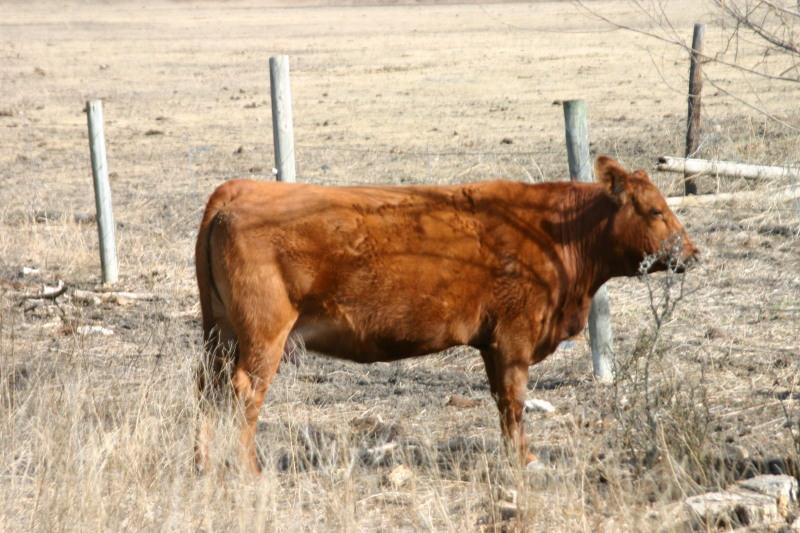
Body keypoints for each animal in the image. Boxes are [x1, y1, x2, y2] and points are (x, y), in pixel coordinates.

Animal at [194, 155, 699, 473]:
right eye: (655, 210)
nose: (693, 253)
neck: (553, 232)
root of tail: (240, 189)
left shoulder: (493, 344)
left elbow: (502, 403)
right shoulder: (513, 337)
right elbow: (514, 401)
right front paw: (527, 461)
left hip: (222, 334)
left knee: (208, 389)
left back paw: (204, 462)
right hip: (264, 335)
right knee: (243, 393)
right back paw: (250, 471)